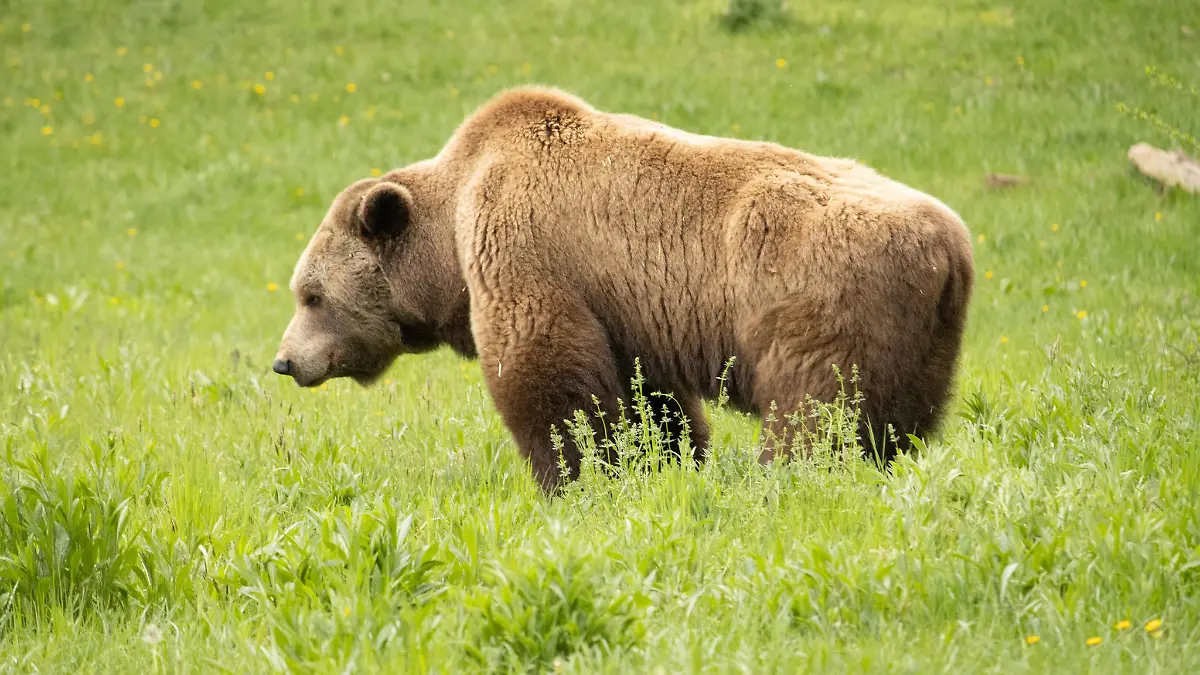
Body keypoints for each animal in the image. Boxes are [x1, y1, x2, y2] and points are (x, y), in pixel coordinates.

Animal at [271, 86, 974, 494]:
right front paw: (663, 461)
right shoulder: (628, 308)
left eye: (311, 295)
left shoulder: (526, 248)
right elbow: (648, 397)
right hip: (922, 341)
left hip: (818, 298)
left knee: (814, 410)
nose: (284, 360)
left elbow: (546, 373)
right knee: (899, 422)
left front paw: (571, 477)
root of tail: (950, 246)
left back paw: (789, 478)